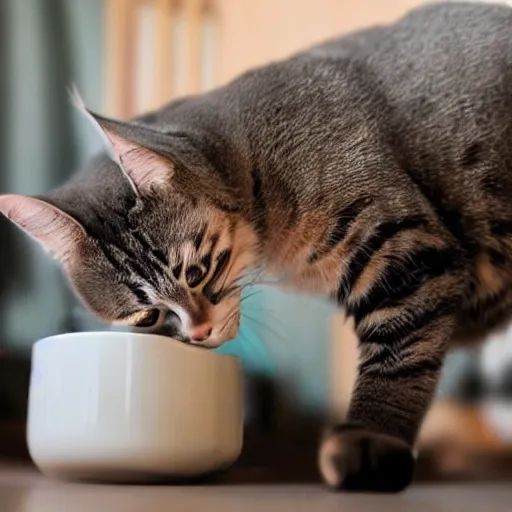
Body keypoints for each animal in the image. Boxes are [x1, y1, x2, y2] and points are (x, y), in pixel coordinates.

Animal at [1, 1, 512, 492]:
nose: (199, 332)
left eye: (196, 271)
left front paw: (371, 436)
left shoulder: (401, 249)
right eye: (146, 317)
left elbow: (398, 351)